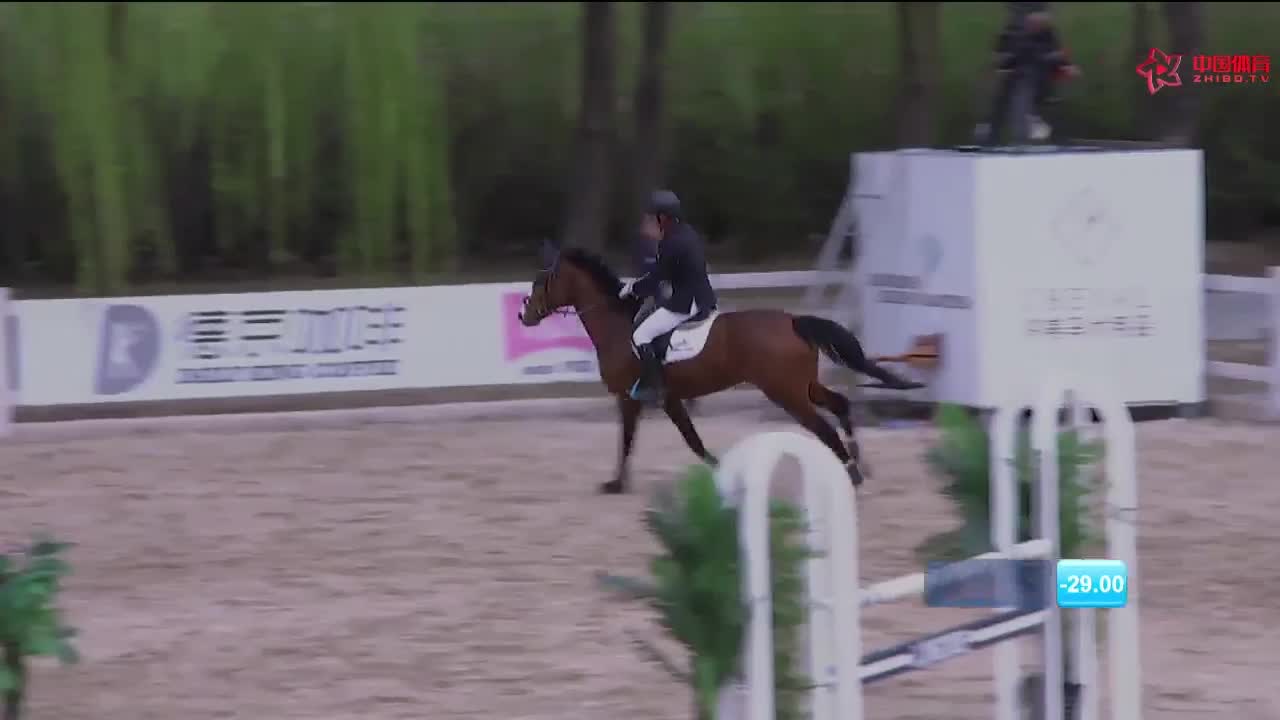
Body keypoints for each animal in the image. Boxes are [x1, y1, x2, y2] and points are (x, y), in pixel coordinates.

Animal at [517, 243, 923, 494]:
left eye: (542, 282)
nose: (523, 316)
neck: (618, 326)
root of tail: (793, 321)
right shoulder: (669, 399)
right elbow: (691, 439)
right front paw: (718, 470)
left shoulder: (630, 398)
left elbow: (629, 439)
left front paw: (616, 484)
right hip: (804, 385)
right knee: (840, 404)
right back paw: (859, 462)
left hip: (786, 393)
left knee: (823, 427)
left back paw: (851, 473)